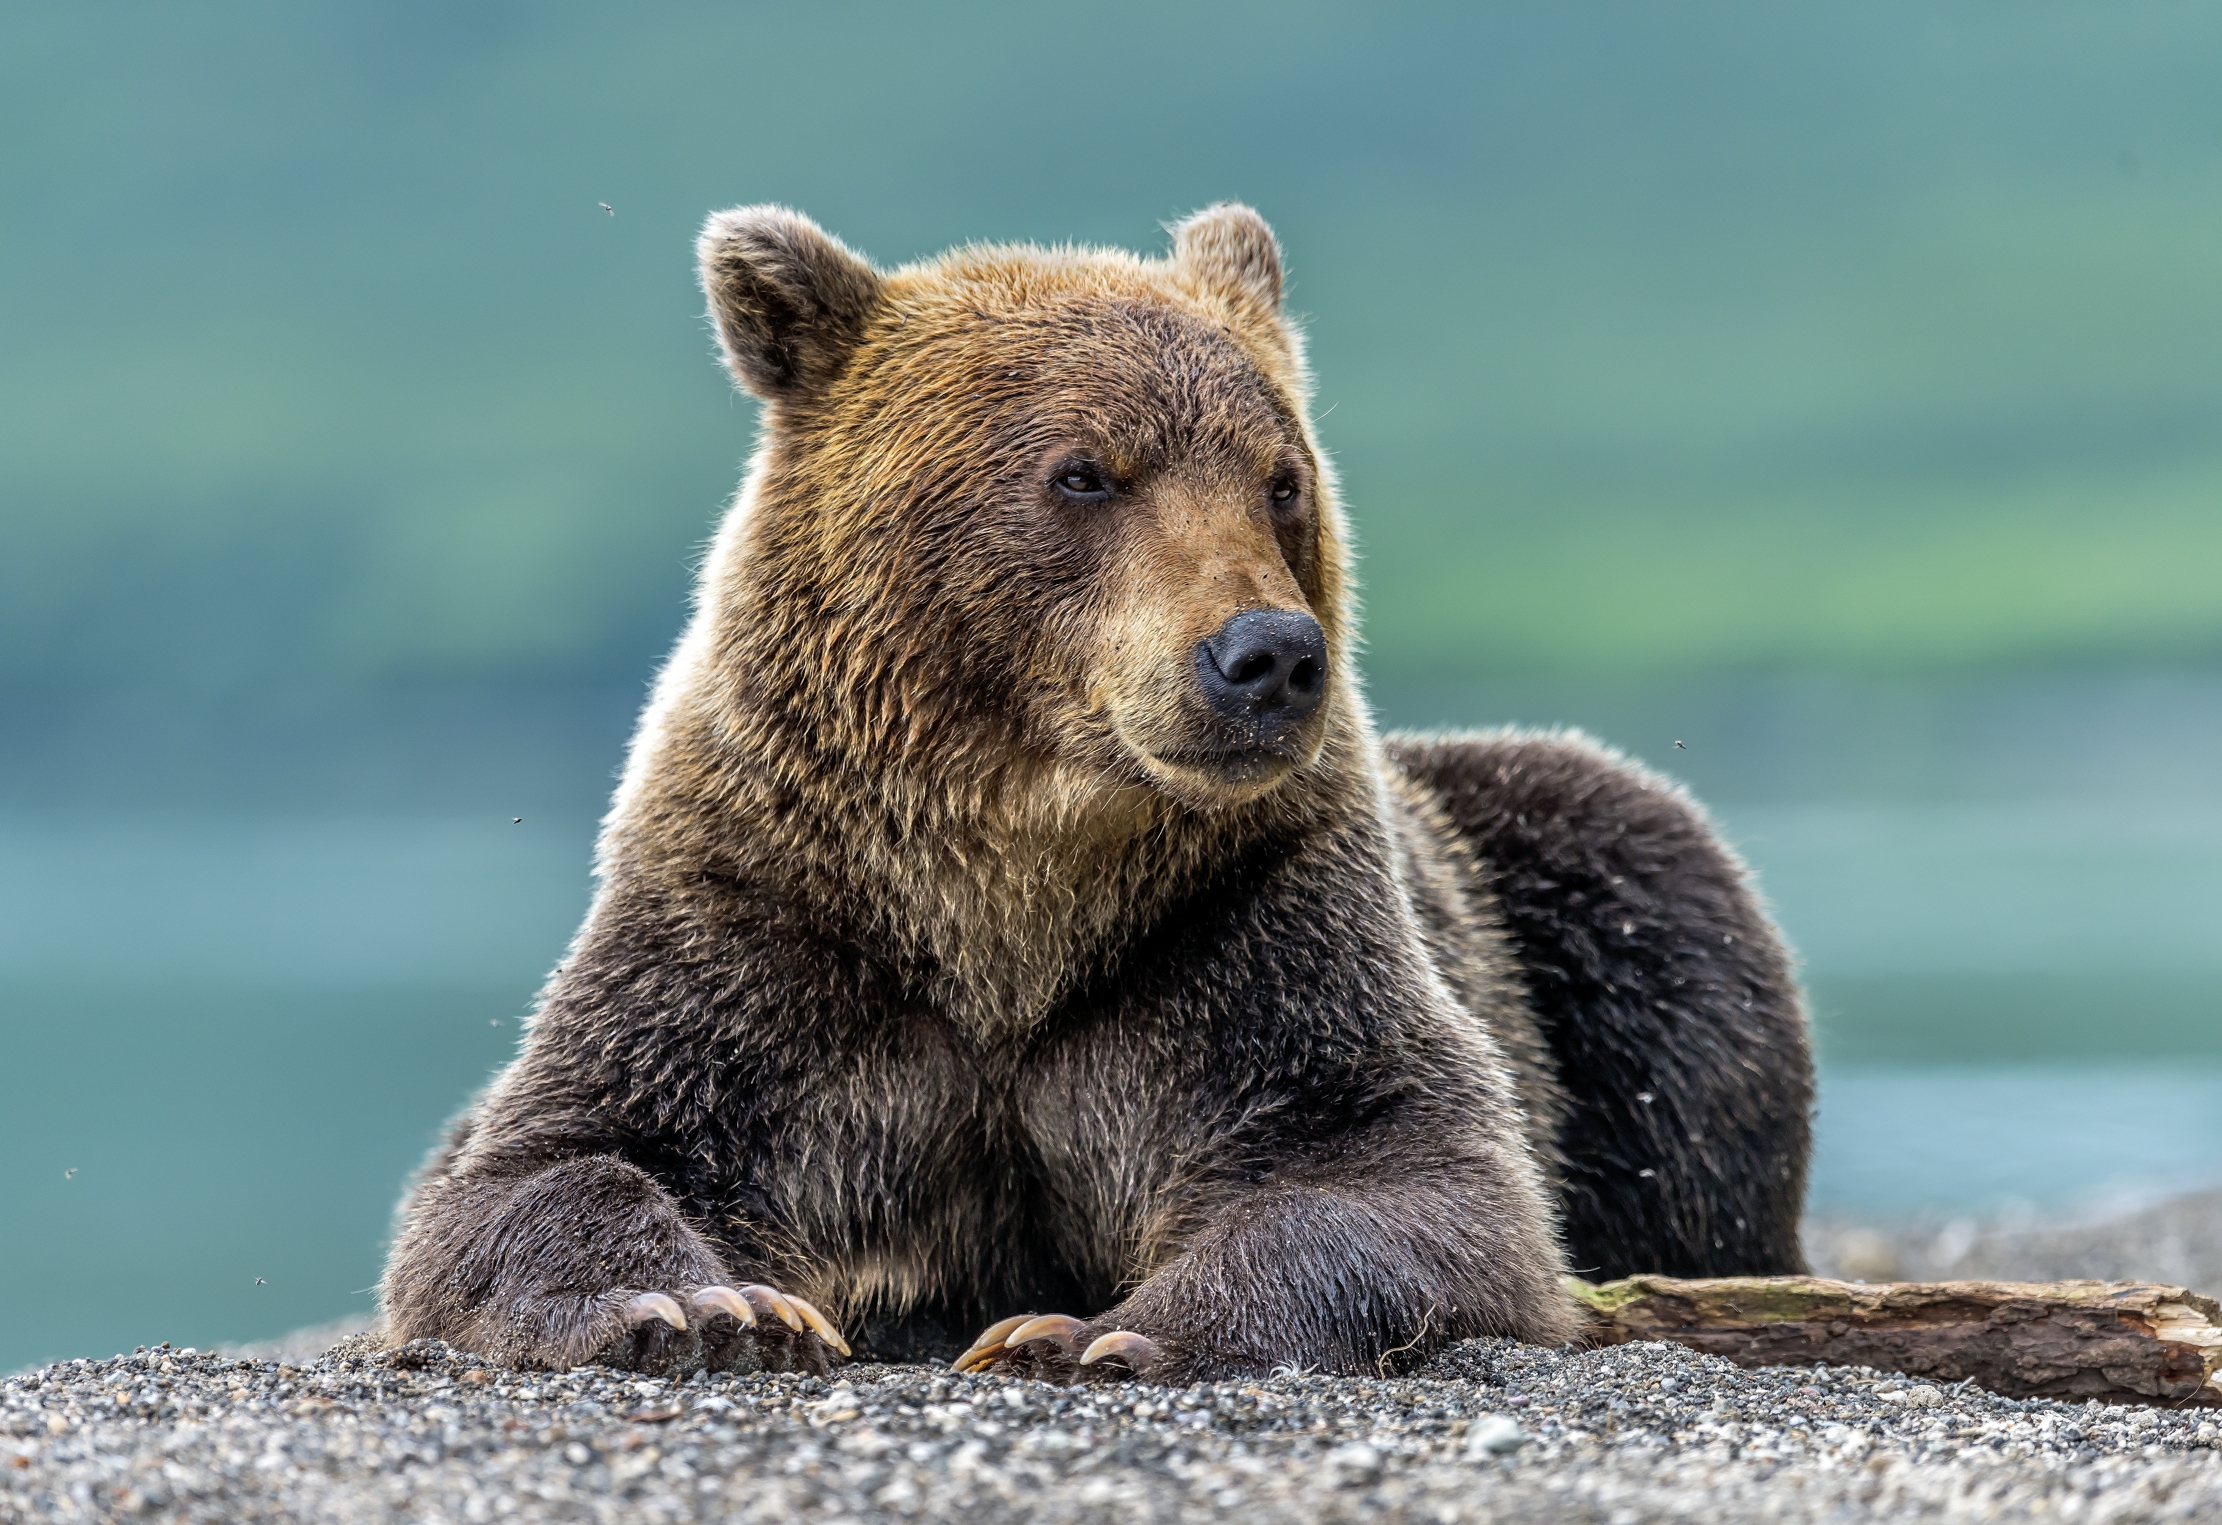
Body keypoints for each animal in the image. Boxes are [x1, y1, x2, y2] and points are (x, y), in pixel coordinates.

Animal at [378, 203, 1813, 1383]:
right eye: (1081, 471)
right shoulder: (769, 923)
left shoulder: (1242, 928)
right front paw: (702, 1307)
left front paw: (1093, 1328)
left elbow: (1402, 1162)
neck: (1013, 895)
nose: (1264, 655)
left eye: (1279, 476)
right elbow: (553, 1156)